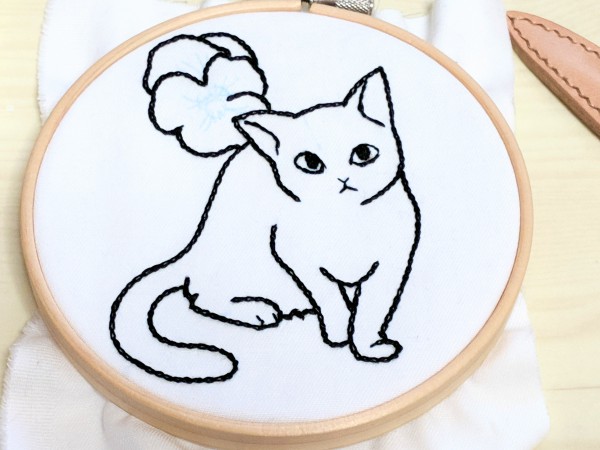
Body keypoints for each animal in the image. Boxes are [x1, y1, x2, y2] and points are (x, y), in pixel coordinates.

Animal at [110, 35, 420, 383]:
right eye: (310, 163)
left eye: (364, 153)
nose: (343, 179)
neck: (344, 219)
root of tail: (191, 254)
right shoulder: (297, 257)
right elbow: (330, 297)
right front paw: (340, 331)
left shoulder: (393, 262)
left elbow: (372, 310)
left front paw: (367, 346)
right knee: (203, 296)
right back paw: (253, 310)